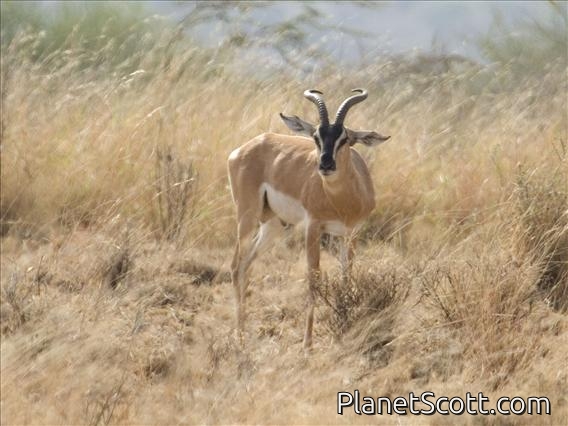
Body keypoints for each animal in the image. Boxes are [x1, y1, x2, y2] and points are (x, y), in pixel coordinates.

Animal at [227, 88, 390, 349]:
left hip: (274, 226)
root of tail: (249, 145)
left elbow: (346, 276)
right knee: (235, 265)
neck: (343, 202)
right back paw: (240, 337)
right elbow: (314, 279)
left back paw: (244, 332)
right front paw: (307, 344)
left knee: (247, 264)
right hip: (247, 217)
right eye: (316, 136)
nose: (325, 164)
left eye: (345, 138)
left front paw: (344, 327)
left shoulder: (351, 233)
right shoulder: (313, 228)